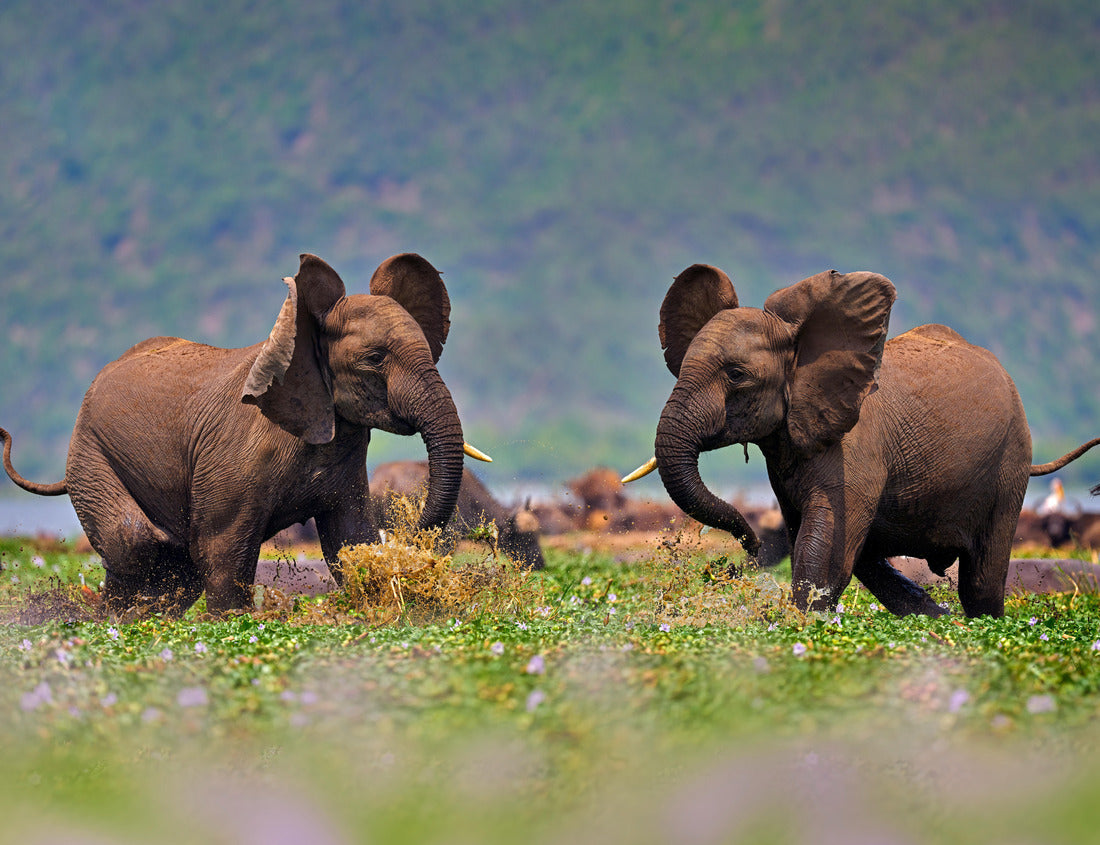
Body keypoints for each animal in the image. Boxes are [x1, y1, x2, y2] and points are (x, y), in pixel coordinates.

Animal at [1, 253, 490, 614]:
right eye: (374, 358)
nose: (411, 536)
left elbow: (350, 541)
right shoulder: (235, 458)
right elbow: (222, 548)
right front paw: (232, 620)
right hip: (89, 453)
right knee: (135, 540)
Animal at [625, 265, 1100, 618]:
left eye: (737, 375)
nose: (745, 548)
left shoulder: (855, 448)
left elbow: (823, 552)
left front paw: (799, 622)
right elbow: (814, 540)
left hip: (1010, 461)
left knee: (981, 581)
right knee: (875, 560)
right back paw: (937, 621)